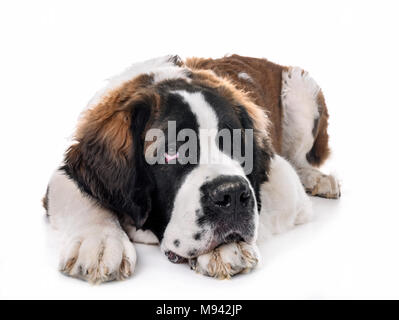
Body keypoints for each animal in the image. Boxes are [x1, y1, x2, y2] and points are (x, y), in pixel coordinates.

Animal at [43, 54, 340, 282]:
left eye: (238, 146)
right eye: (172, 151)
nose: (232, 194)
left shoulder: (285, 185)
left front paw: (226, 249)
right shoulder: (64, 174)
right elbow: (80, 196)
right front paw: (99, 242)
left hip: (302, 89)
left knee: (301, 158)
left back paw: (317, 178)